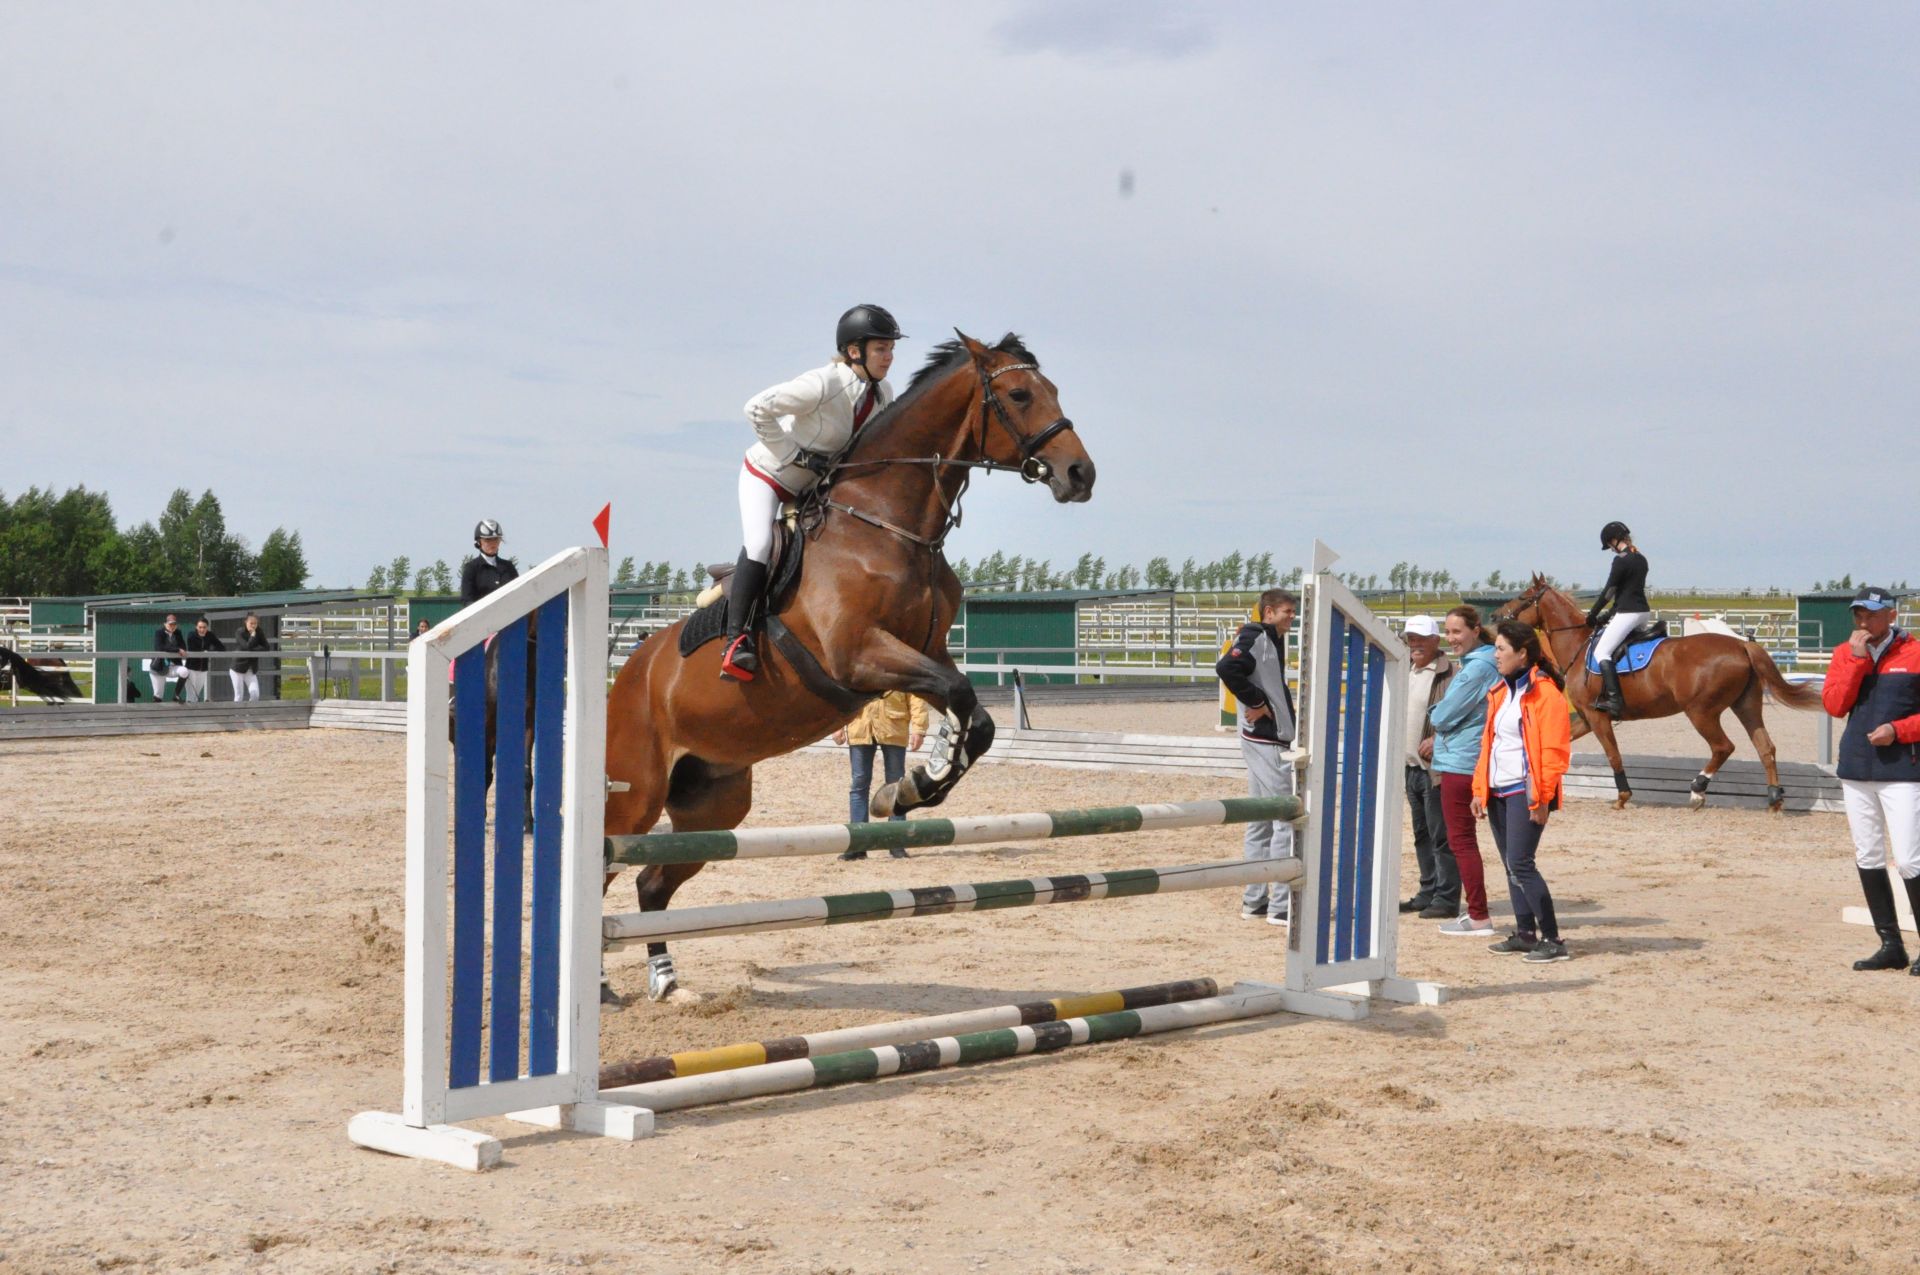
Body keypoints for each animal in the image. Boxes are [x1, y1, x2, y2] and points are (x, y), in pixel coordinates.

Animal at [606, 330, 1105, 1006]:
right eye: (1021, 394)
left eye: (1051, 389)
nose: (1081, 473)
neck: (889, 522)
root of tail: (627, 677)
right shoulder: (860, 656)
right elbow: (958, 695)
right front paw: (911, 784)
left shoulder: (923, 652)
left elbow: (973, 716)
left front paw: (912, 786)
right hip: (633, 796)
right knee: (600, 862)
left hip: (714, 803)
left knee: (651, 883)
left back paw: (665, 983)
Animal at [1489, 576, 1820, 810]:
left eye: (1523, 597)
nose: (1495, 617)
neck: (1578, 645)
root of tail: (1742, 645)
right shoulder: (1586, 717)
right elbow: (1565, 740)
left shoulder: (1598, 717)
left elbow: (1613, 754)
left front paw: (1623, 796)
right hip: (1746, 706)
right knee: (1765, 748)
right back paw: (1774, 798)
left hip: (1701, 712)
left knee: (1723, 747)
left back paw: (1698, 790)